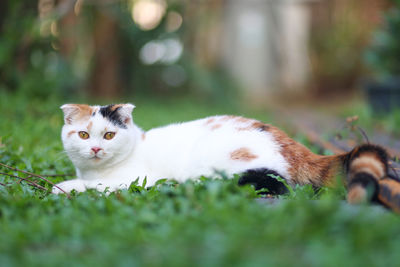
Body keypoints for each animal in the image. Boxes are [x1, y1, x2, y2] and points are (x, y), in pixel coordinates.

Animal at [51, 103, 390, 204]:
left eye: (109, 134)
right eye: (83, 134)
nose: (96, 148)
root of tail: (288, 141)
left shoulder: (135, 179)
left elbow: (94, 186)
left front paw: (63, 187)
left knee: (276, 186)